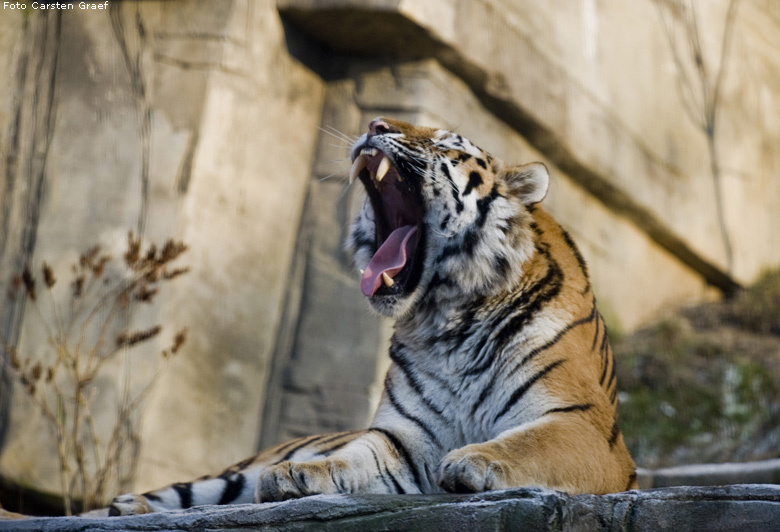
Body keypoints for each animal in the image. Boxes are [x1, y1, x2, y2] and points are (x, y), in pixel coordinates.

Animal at [106, 117, 636, 516]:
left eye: (445, 142)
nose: (375, 123)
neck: (449, 321)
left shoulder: (582, 425)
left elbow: (529, 443)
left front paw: (472, 461)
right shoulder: (405, 437)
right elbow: (354, 457)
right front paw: (301, 473)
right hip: (227, 475)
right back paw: (126, 505)